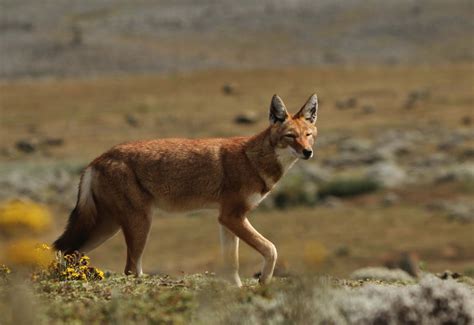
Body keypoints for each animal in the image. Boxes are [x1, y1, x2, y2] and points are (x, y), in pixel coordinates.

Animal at [55, 92, 320, 284]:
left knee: (69, 252)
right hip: (139, 224)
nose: (308, 152)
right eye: (290, 136)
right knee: (129, 269)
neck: (253, 159)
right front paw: (264, 280)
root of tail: (98, 159)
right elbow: (271, 249)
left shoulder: (227, 219)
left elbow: (232, 264)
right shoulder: (232, 216)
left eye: (308, 134)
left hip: (107, 227)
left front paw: (236, 288)